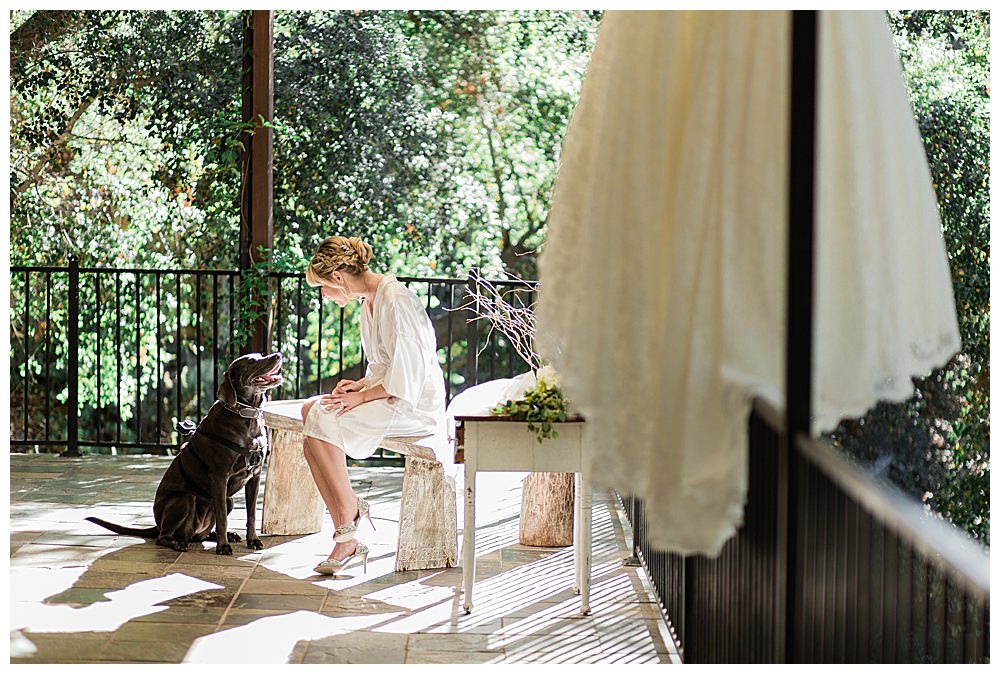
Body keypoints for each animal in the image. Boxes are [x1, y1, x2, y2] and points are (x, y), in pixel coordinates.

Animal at [85, 352, 286, 552]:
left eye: (260, 355)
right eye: (251, 361)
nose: (278, 355)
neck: (245, 417)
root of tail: (157, 524)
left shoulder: (254, 476)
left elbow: (251, 514)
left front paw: (252, 540)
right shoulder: (220, 477)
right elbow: (222, 517)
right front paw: (223, 546)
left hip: (227, 500)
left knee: (200, 534)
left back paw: (224, 536)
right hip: (185, 499)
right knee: (163, 537)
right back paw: (179, 543)